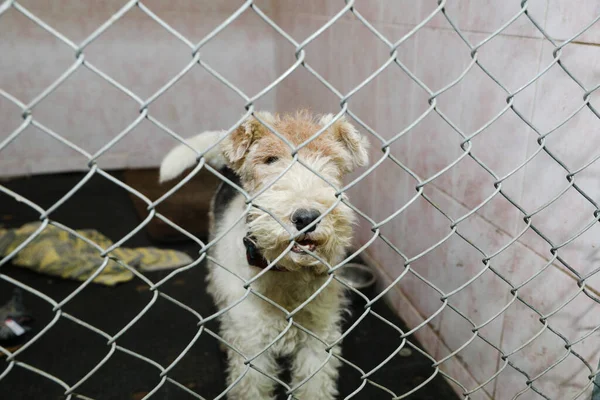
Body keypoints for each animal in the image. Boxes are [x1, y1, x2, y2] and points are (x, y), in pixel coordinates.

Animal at [157, 111, 368, 398]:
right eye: (270, 160)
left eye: (331, 161)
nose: (307, 217)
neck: (285, 272)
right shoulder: (252, 350)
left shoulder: (319, 339)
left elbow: (314, 387)